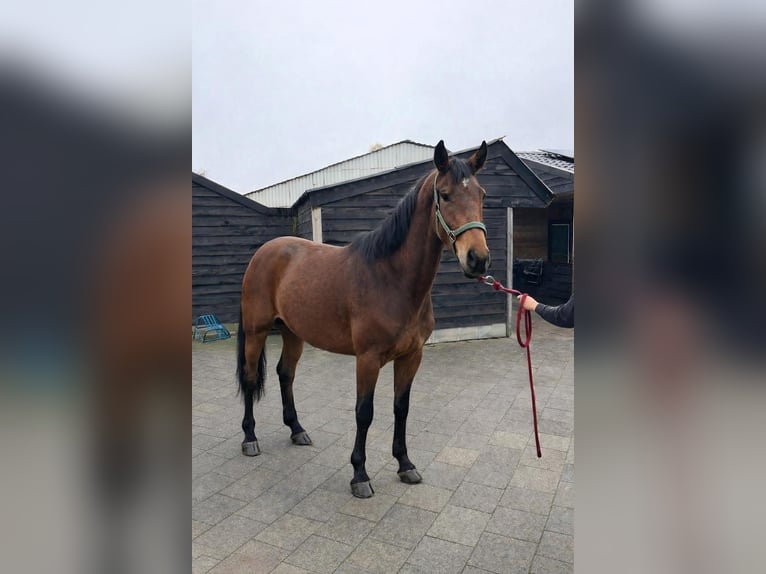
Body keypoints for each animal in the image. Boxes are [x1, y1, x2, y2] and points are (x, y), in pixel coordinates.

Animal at [236, 140, 490, 497]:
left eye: (481, 195)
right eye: (445, 194)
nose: (477, 259)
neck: (391, 278)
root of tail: (264, 251)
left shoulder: (412, 356)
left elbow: (401, 408)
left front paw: (405, 464)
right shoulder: (367, 359)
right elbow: (364, 413)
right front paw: (359, 474)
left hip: (293, 333)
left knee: (285, 374)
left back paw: (297, 430)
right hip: (256, 331)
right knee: (249, 378)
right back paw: (250, 438)